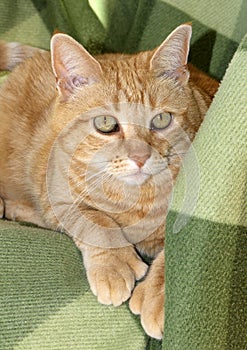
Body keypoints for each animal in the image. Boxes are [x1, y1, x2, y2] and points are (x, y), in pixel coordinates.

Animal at [0, 24, 218, 340]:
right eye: (105, 124)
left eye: (161, 120)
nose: (140, 157)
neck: (136, 200)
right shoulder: (57, 197)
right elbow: (95, 222)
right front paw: (115, 264)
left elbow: (177, 252)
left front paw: (159, 297)